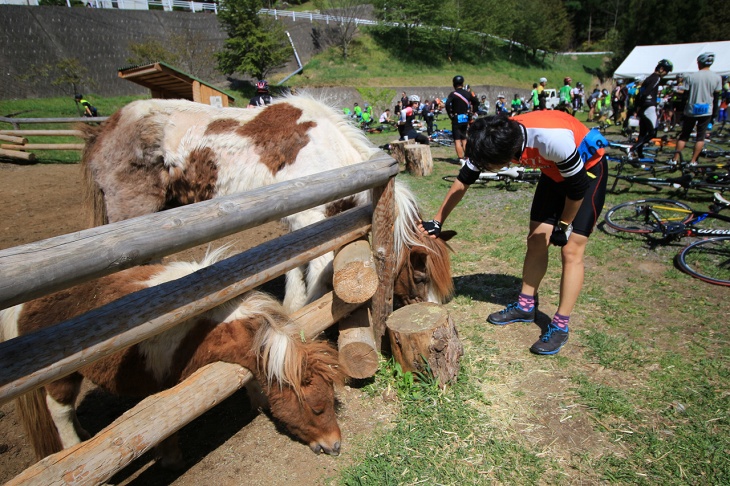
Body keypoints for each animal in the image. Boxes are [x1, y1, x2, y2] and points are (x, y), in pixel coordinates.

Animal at [0, 249, 344, 466]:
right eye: (316, 408)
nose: (335, 445)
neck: (206, 325)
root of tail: (22, 306)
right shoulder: (169, 383)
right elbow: (165, 420)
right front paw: (170, 457)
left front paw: (258, 401)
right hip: (62, 377)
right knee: (59, 411)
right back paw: (75, 447)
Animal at [81, 96, 456, 312]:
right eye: (421, 276)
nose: (433, 314)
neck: (331, 155)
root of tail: (105, 130)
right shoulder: (309, 218)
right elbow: (317, 269)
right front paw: (307, 311)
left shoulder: (298, 220)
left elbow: (292, 262)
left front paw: (292, 304)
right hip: (132, 212)